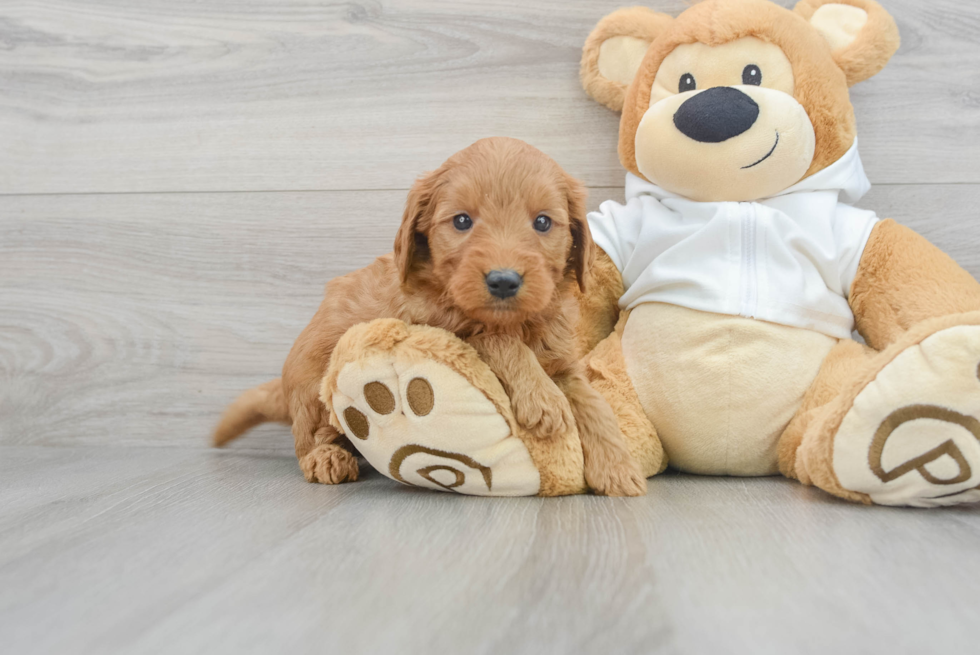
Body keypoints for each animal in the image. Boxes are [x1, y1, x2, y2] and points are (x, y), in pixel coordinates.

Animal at [212, 137, 648, 498]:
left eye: (542, 222)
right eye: (462, 221)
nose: (503, 280)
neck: (514, 320)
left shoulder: (561, 360)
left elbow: (593, 405)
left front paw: (618, 467)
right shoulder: (437, 324)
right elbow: (495, 338)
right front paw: (543, 399)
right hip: (311, 388)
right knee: (311, 435)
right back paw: (327, 458)